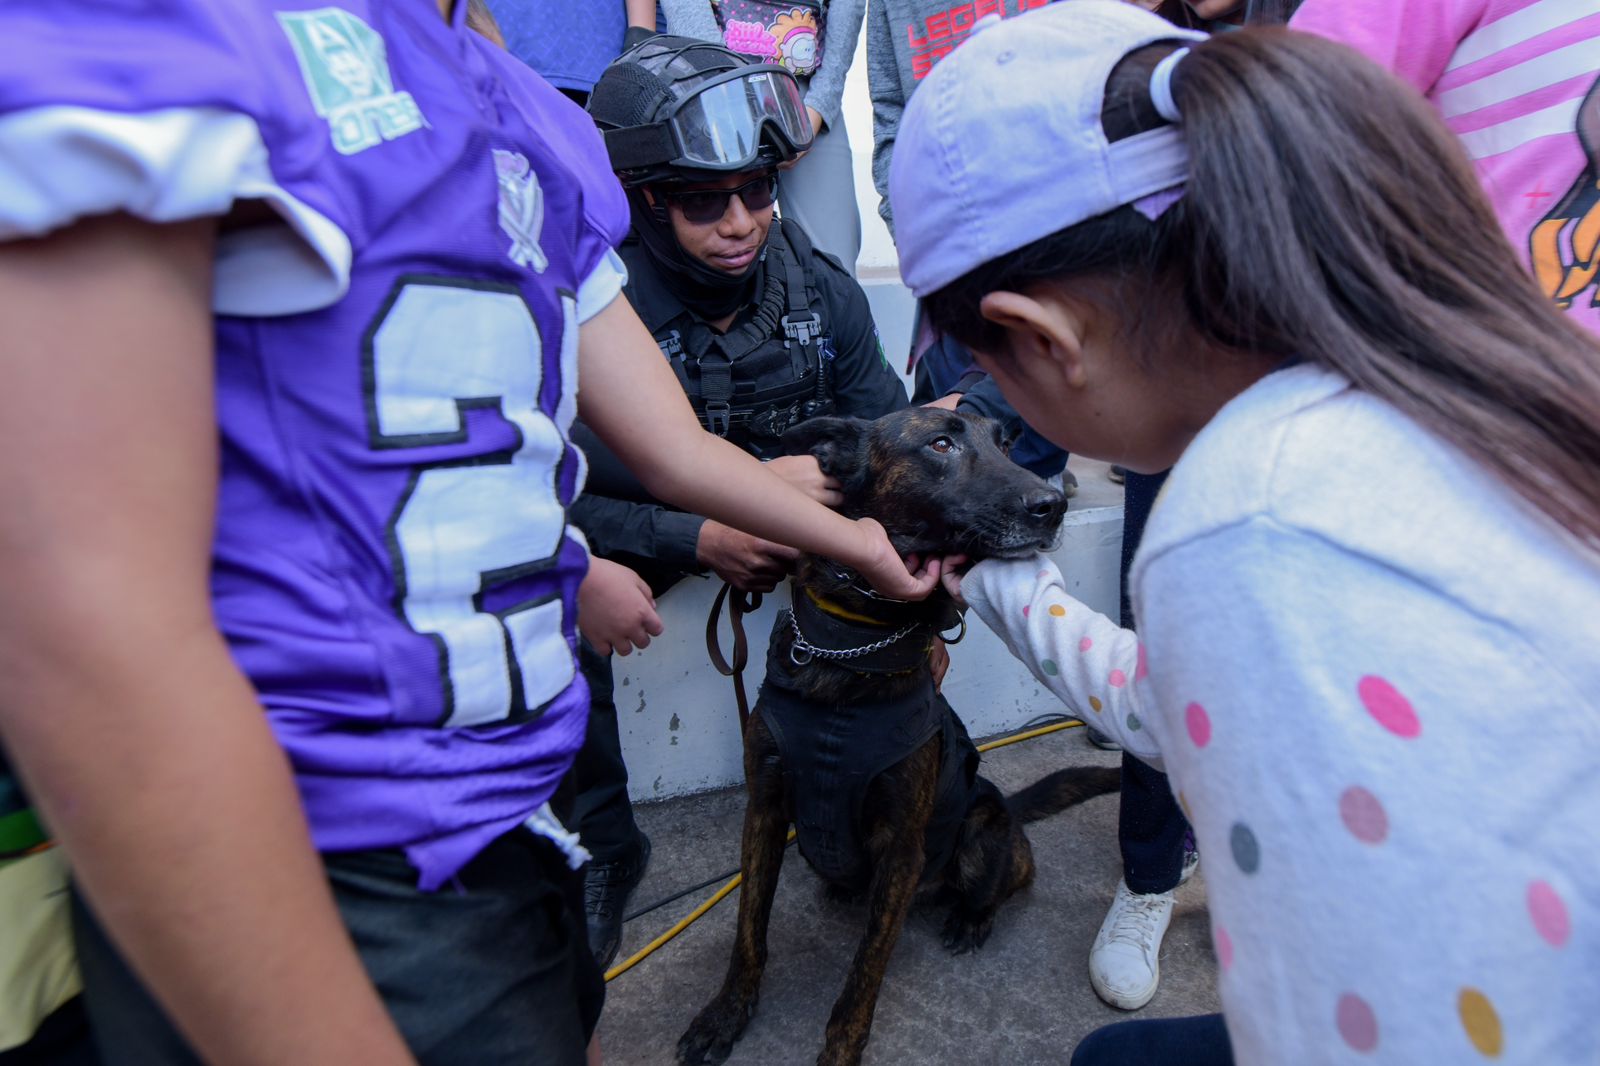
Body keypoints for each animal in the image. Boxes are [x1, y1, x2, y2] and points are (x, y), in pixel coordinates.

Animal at [681, 406, 1120, 1062]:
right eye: (939, 445)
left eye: (1005, 444)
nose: (1052, 505)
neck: (852, 652)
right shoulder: (764, 811)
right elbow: (748, 929)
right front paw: (727, 1013)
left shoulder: (902, 849)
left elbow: (865, 970)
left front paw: (840, 1050)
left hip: (982, 832)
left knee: (1010, 877)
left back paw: (972, 918)